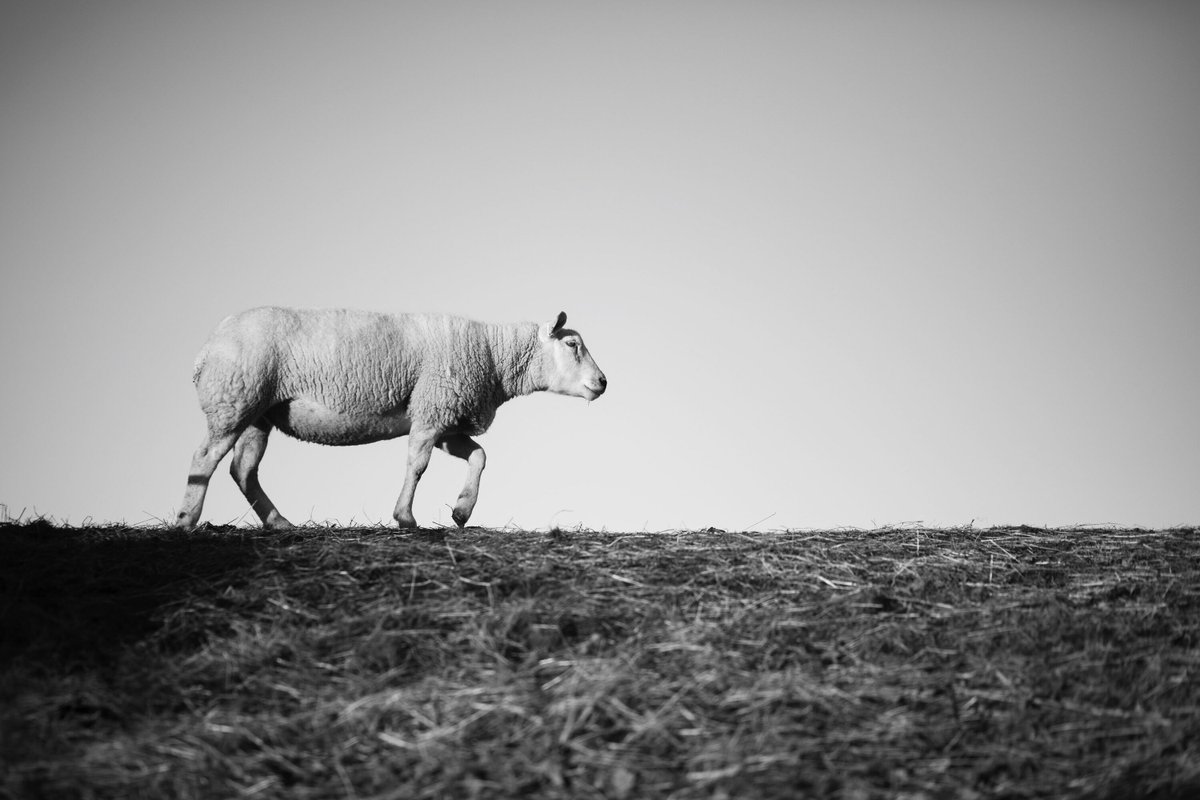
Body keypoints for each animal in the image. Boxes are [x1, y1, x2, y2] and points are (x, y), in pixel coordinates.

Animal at [173, 307, 606, 530]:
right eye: (572, 344)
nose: (603, 382)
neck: (495, 356)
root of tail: (206, 350)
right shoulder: (432, 409)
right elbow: (417, 465)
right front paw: (405, 517)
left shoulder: (445, 418)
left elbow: (480, 456)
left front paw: (461, 511)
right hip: (235, 399)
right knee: (204, 460)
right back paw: (185, 519)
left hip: (258, 413)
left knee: (243, 469)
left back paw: (279, 522)